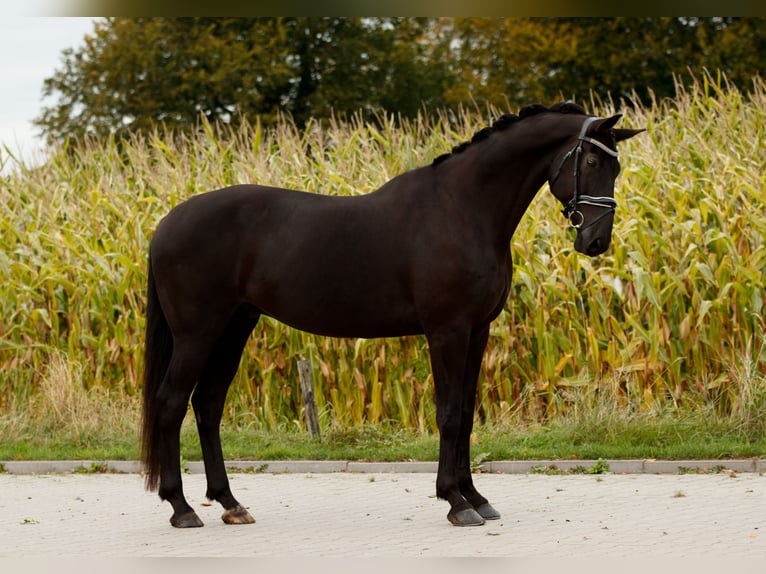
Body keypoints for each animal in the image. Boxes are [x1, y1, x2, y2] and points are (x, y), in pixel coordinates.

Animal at [141, 104, 644, 532]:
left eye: (616, 168)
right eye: (593, 162)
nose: (596, 241)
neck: (463, 208)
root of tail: (166, 224)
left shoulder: (477, 331)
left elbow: (467, 411)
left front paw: (476, 498)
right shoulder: (447, 331)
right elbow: (448, 413)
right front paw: (456, 503)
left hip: (234, 328)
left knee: (207, 405)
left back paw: (230, 503)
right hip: (197, 334)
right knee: (170, 403)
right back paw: (182, 508)